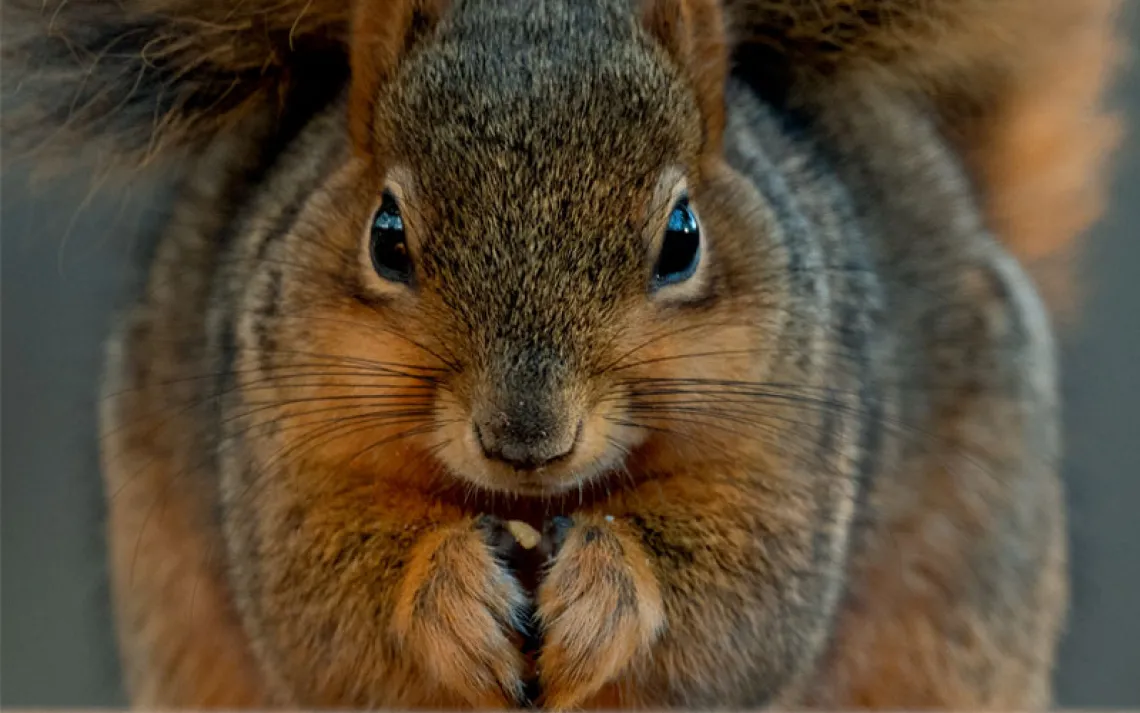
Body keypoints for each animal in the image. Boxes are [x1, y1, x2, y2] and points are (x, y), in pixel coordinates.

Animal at [1, 0, 1124, 708]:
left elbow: (747, 600)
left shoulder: (799, 451)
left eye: (682, 238)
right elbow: (317, 602)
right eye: (386, 236)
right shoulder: (275, 448)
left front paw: (606, 592)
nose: (525, 436)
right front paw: (449, 593)